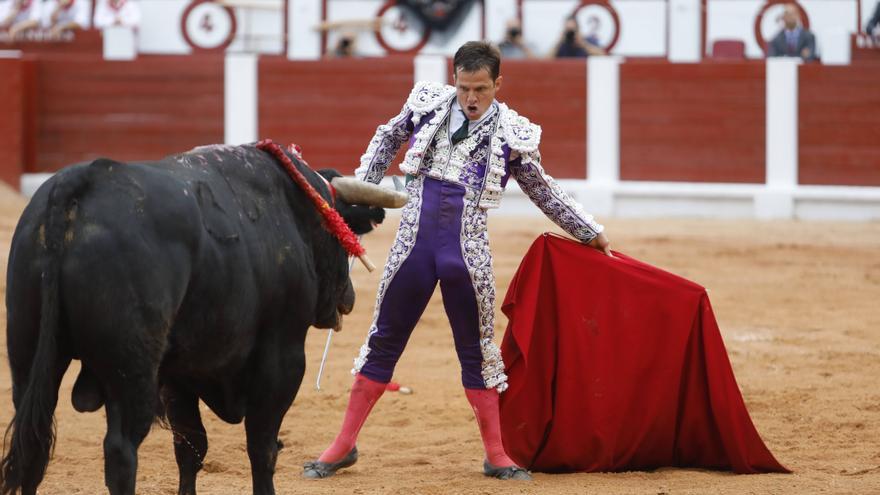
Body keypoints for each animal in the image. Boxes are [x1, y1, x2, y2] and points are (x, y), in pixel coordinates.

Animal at [0, 143, 406, 495]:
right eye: (340, 230)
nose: (348, 297)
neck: (294, 209)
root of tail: (77, 185)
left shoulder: (180, 374)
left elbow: (190, 448)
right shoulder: (283, 356)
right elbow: (262, 446)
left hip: (28, 353)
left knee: (33, 441)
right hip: (132, 370)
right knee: (120, 450)